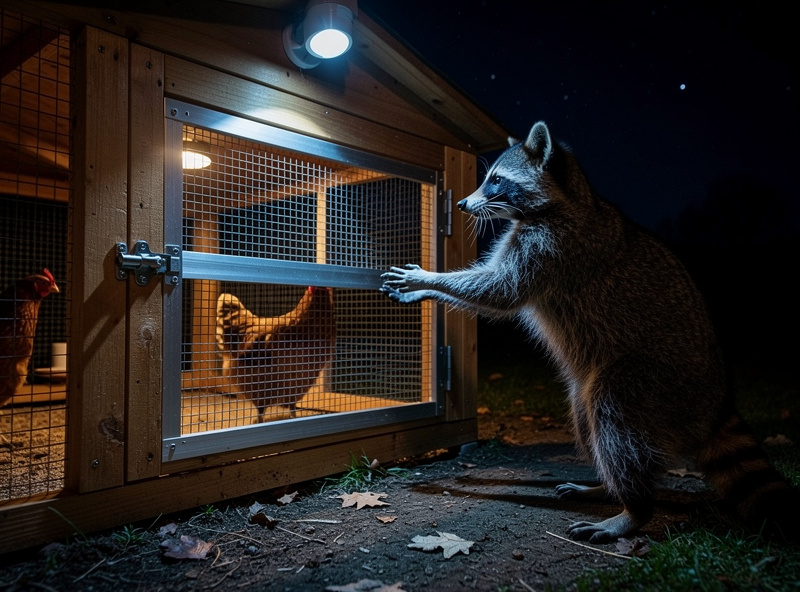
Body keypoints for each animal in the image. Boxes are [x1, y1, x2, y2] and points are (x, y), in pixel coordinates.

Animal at [380, 121, 798, 543]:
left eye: (496, 180)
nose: (464, 205)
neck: (568, 198)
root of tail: (718, 403)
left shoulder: (553, 247)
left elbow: (500, 291)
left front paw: (430, 279)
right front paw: (425, 291)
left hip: (654, 381)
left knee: (615, 417)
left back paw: (634, 508)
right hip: (606, 388)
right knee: (586, 415)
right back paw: (606, 487)